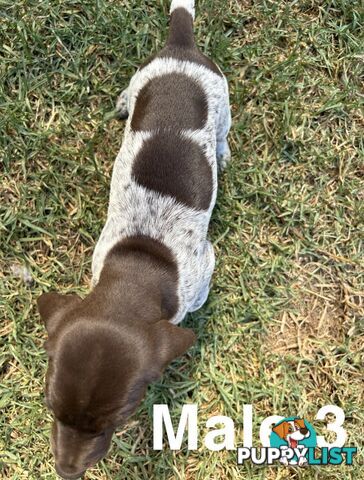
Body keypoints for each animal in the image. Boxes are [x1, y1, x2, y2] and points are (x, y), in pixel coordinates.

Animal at [37, 1, 230, 478]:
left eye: (118, 419)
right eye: (51, 406)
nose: (66, 471)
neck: (138, 266)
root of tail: (181, 46)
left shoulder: (203, 268)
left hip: (223, 95)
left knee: (222, 128)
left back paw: (220, 150)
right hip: (145, 73)